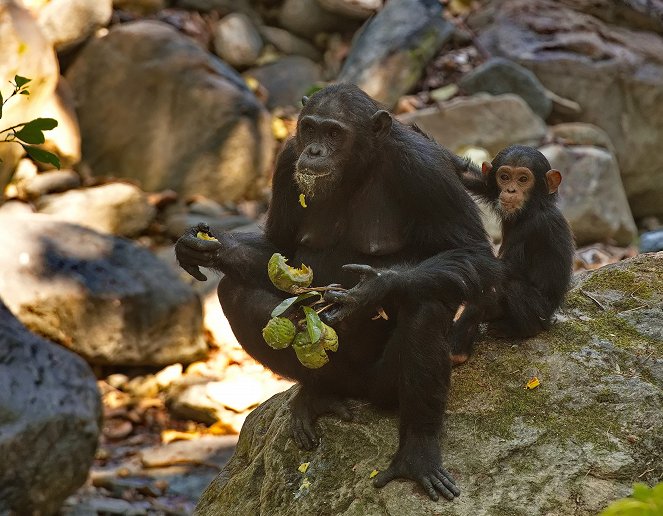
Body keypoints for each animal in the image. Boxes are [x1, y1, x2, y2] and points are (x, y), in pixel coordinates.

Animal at [175, 83, 498, 500]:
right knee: (234, 291)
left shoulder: (426, 171)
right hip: (339, 375)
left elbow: (473, 253)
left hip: (381, 387)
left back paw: (417, 453)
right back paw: (316, 393)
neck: (358, 169)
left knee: (427, 303)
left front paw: (373, 289)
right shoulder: (286, 160)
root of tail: (356, 392)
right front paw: (209, 248)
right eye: (310, 129)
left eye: (333, 133)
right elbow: (278, 247)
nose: (314, 150)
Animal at [452, 143, 576, 364]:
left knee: (508, 287)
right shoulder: (490, 188)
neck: (532, 208)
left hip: (540, 314)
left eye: (523, 179)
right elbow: (471, 176)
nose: (511, 190)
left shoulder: (537, 226)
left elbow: (499, 272)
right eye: (504, 177)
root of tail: (551, 318)